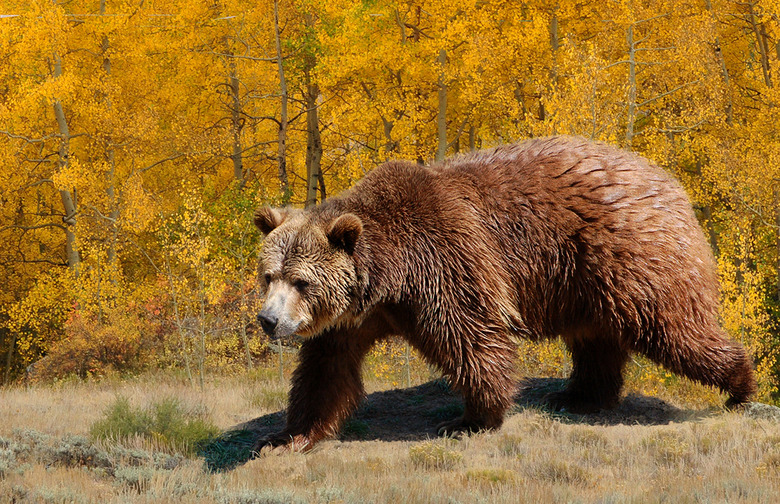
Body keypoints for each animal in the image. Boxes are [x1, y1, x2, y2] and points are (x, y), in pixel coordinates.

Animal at [253, 135, 756, 452]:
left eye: (301, 281)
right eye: (268, 276)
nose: (269, 320)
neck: (387, 279)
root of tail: (670, 182)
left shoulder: (444, 262)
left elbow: (472, 337)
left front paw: (470, 418)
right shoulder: (349, 320)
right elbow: (325, 372)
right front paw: (285, 437)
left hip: (627, 252)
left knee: (673, 326)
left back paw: (740, 384)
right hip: (584, 282)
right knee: (596, 339)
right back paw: (578, 395)